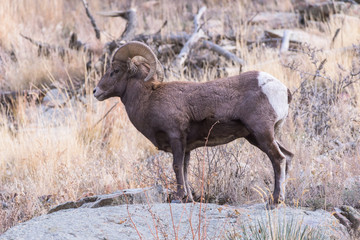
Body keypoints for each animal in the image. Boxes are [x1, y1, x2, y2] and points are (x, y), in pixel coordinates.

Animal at [93, 40, 292, 205]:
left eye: (115, 71)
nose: (96, 91)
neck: (149, 98)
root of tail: (282, 89)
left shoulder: (176, 137)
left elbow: (176, 167)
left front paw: (179, 197)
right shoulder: (186, 147)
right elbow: (185, 169)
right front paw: (188, 198)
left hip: (262, 133)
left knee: (278, 159)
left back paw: (274, 201)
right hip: (258, 136)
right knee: (288, 156)